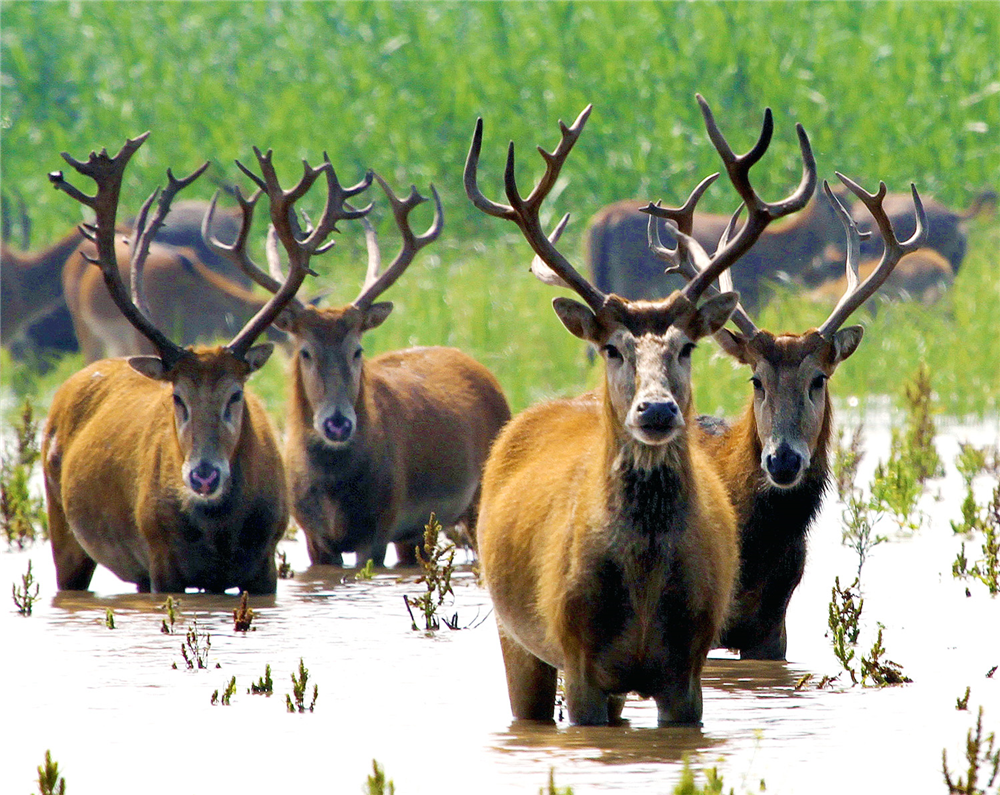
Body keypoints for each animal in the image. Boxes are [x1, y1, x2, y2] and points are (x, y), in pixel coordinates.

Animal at [43, 132, 372, 592]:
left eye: (236, 396)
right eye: (177, 397)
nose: (203, 475)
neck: (219, 529)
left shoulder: (265, 563)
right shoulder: (161, 560)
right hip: (64, 529)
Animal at [206, 171, 512, 568]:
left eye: (357, 350)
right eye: (305, 352)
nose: (338, 422)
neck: (334, 491)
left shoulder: (379, 526)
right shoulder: (313, 535)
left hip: (473, 501)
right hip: (416, 530)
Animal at [464, 95, 816, 728]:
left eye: (687, 346)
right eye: (612, 347)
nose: (656, 411)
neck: (647, 581)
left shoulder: (688, 668)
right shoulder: (578, 662)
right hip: (513, 633)